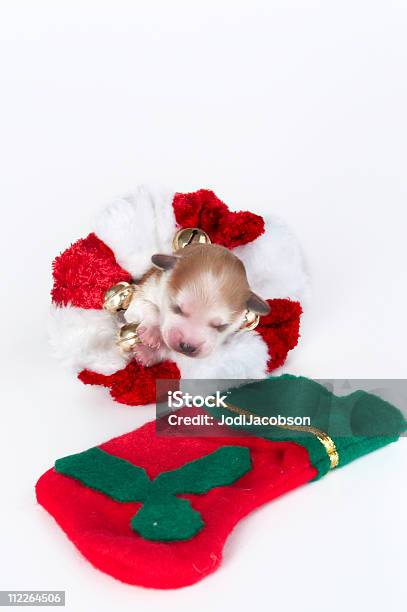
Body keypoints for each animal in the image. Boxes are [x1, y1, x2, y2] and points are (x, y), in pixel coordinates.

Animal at [124, 245, 270, 368]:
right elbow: (150, 307)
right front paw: (152, 333)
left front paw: (148, 353)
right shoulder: (145, 290)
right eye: (177, 308)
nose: (187, 346)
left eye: (221, 326)